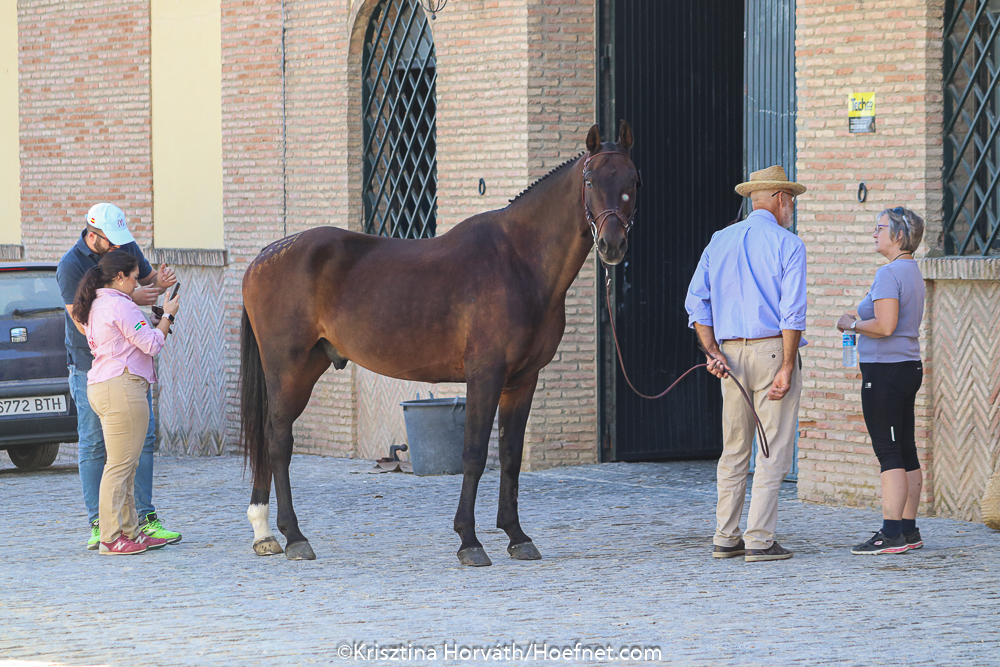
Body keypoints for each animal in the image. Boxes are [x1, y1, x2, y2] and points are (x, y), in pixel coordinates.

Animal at [242, 120, 640, 564]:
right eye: (590, 181)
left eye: (633, 180)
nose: (612, 245)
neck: (519, 261)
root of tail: (266, 255)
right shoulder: (485, 376)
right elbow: (474, 454)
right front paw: (469, 540)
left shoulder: (523, 381)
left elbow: (511, 457)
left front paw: (516, 535)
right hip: (288, 368)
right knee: (278, 440)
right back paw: (294, 536)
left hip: (307, 366)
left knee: (268, 434)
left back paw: (264, 533)